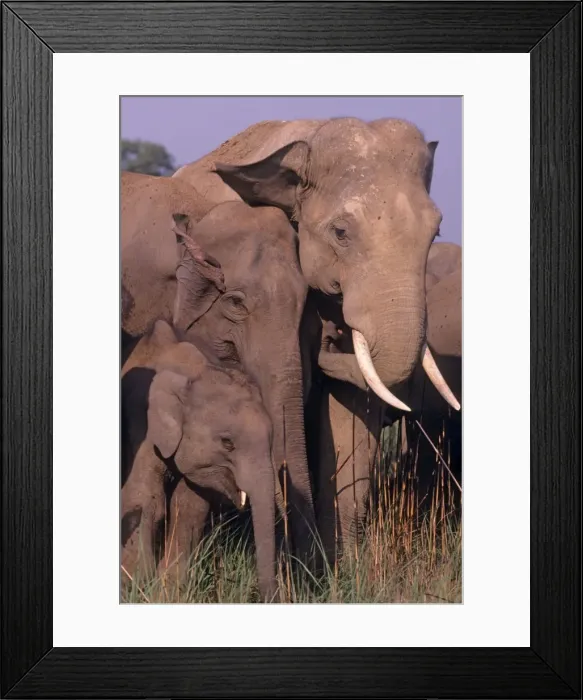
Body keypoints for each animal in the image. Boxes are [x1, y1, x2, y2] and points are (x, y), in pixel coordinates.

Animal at [121, 319, 277, 602]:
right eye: (227, 443)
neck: (195, 371)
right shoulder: (142, 422)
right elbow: (144, 497)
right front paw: (134, 586)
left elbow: (190, 507)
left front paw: (168, 594)